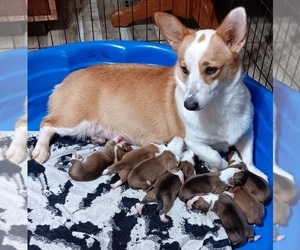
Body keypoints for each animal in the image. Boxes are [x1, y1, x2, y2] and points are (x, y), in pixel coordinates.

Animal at [29, 7, 264, 184]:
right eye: (184, 69)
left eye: (211, 70)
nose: (189, 105)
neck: (219, 106)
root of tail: (63, 82)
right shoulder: (193, 141)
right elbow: (214, 156)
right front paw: (223, 167)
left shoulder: (246, 133)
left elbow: (249, 157)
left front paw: (256, 172)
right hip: (73, 121)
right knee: (46, 124)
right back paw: (40, 150)